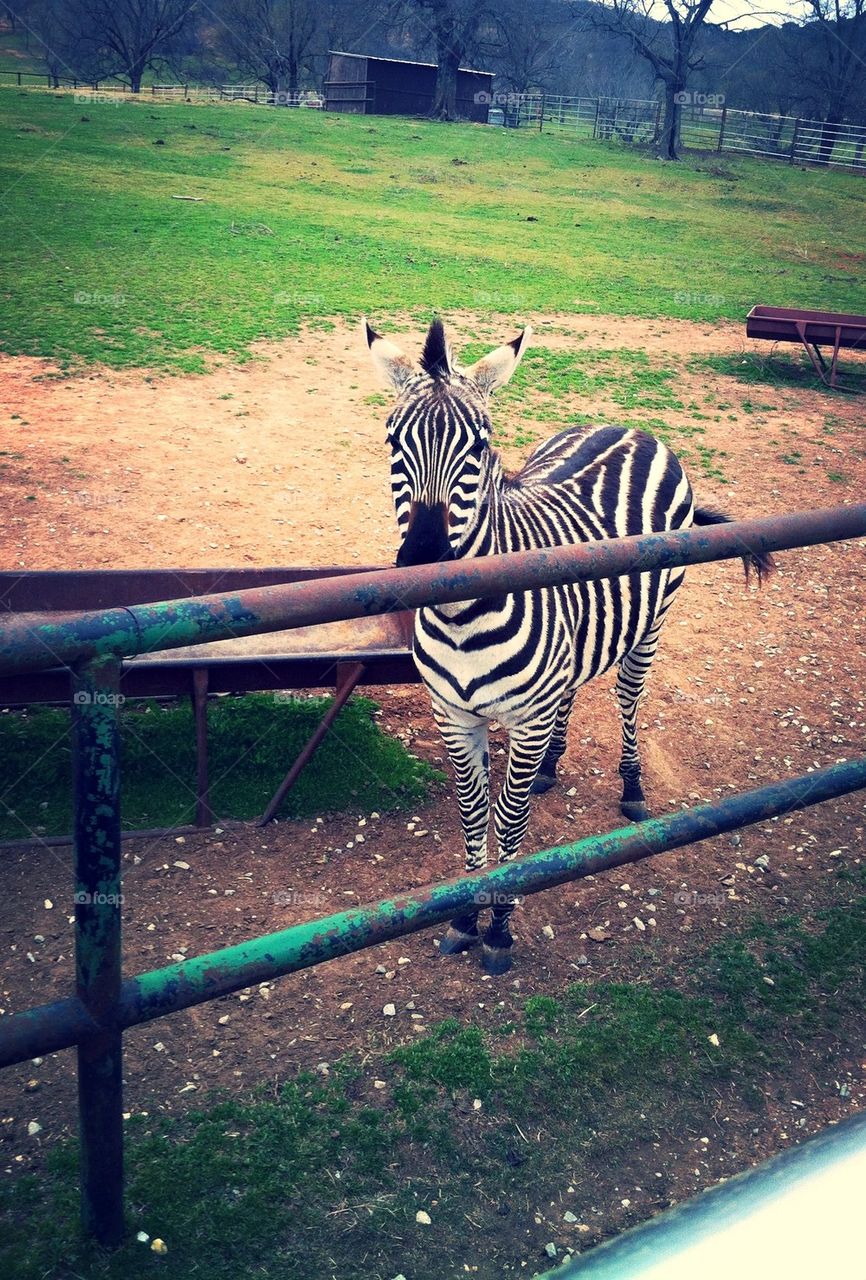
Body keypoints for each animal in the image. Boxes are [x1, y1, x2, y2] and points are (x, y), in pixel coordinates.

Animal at [365, 317, 773, 975]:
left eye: (480, 448)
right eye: (393, 443)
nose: (424, 562)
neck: (460, 619)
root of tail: (630, 427)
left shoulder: (522, 720)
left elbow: (509, 822)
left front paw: (499, 928)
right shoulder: (452, 716)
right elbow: (473, 815)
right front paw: (464, 916)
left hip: (651, 623)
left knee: (628, 698)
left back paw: (631, 788)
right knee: (574, 684)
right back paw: (554, 764)